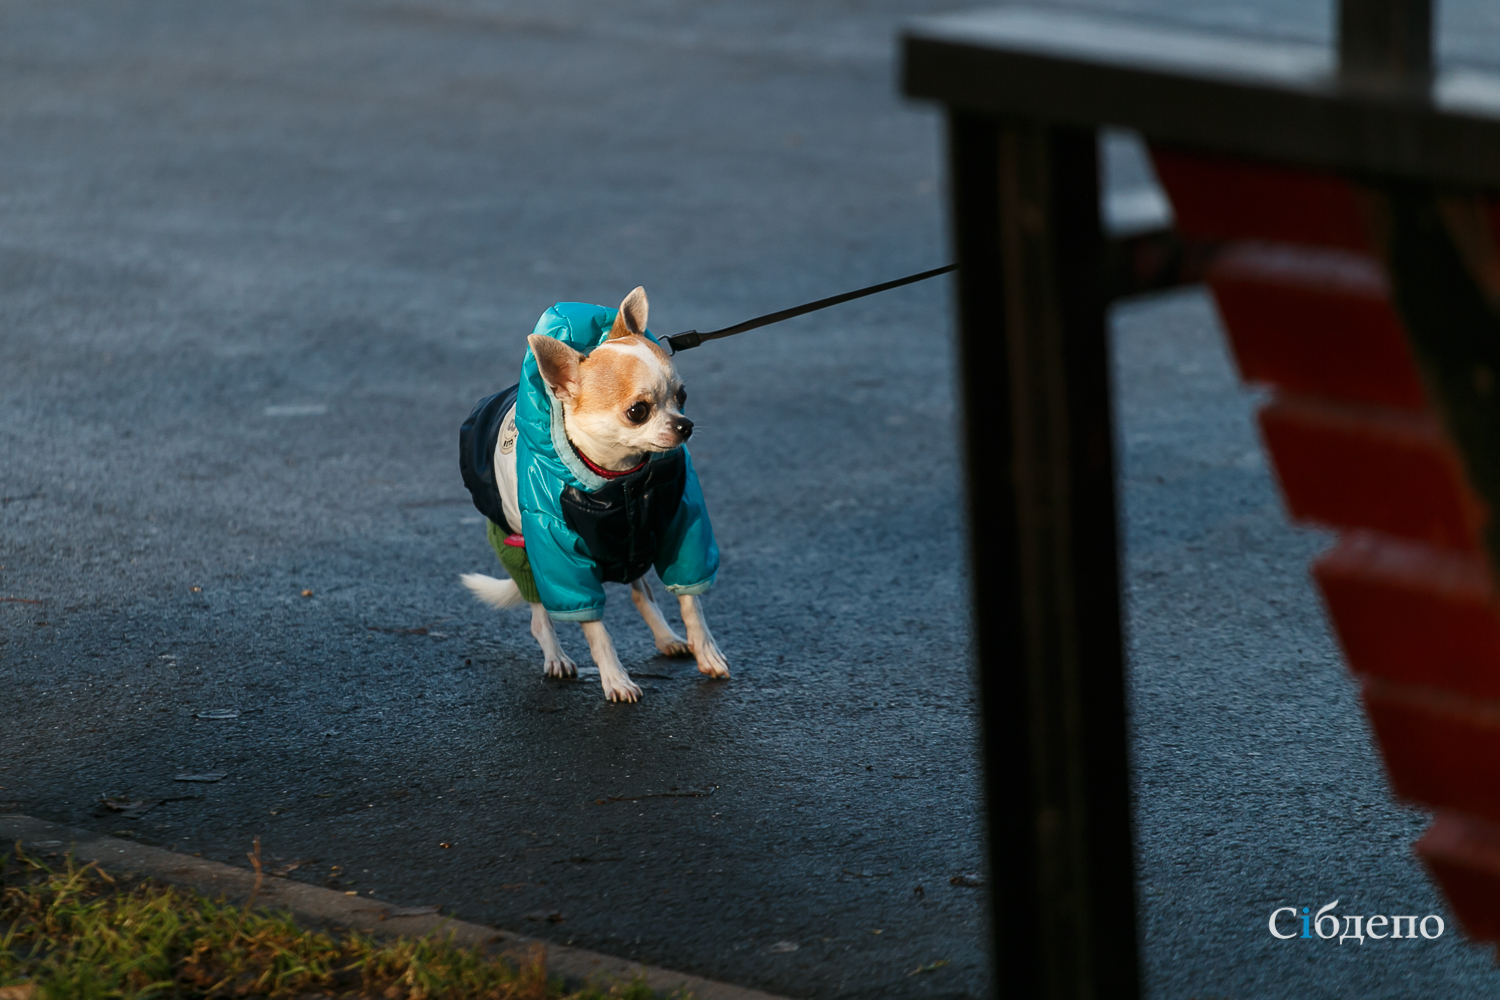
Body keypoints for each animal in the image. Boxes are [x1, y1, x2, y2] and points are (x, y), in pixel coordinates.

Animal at [462, 284, 732, 701]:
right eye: (638, 411)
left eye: (682, 396)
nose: (684, 425)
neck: (621, 478)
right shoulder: (560, 559)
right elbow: (597, 631)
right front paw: (616, 679)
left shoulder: (681, 530)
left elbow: (691, 604)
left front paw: (707, 652)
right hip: (523, 553)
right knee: (540, 616)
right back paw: (556, 657)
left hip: (634, 546)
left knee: (640, 591)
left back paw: (666, 637)